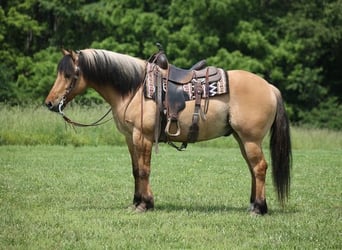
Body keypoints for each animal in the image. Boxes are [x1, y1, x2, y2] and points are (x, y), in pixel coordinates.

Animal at [44, 48, 292, 215]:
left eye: (69, 75)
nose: (50, 103)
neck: (134, 88)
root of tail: (270, 87)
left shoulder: (142, 136)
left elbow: (144, 170)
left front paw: (144, 204)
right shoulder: (129, 138)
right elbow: (135, 170)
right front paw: (137, 202)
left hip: (251, 139)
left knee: (259, 168)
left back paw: (258, 208)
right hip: (242, 139)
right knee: (253, 169)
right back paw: (253, 204)